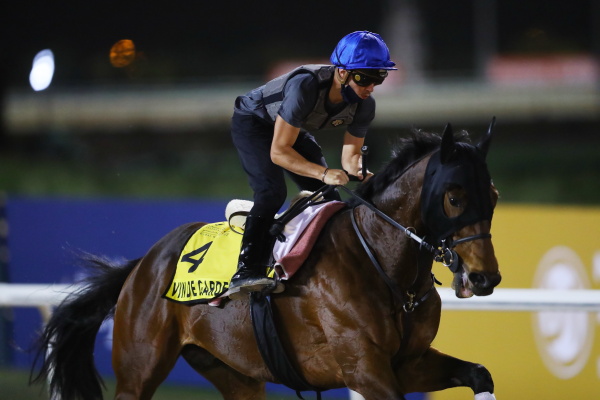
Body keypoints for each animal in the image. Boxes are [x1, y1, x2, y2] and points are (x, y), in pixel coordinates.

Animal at [32, 122, 502, 400]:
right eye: (454, 197)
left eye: (494, 196)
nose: (485, 278)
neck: (383, 264)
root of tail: (142, 265)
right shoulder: (366, 370)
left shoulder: (408, 364)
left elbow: (480, 373)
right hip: (137, 371)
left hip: (235, 373)